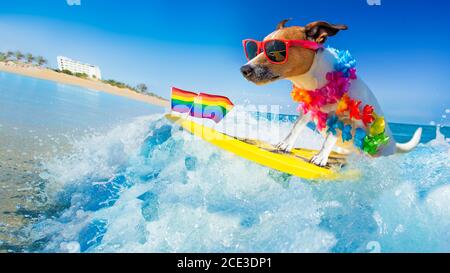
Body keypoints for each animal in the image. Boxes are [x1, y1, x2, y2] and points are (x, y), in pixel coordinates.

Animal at [241, 19, 420, 166]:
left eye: (275, 50)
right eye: (256, 49)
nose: (244, 69)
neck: (317, 80)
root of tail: (394, 143)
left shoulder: (343, 118)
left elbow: (329, 139)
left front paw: (320, 157)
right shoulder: (309, 109)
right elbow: (296, 127)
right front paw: (285, 144)